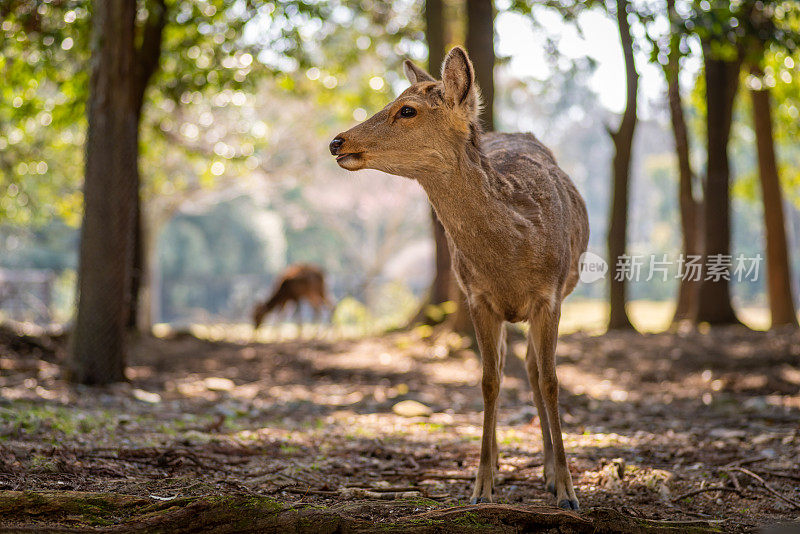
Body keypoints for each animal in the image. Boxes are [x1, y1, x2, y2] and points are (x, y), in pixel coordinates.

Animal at [328, 47, 592, 510]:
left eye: (407, 110)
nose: (337, 141)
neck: (512, 255)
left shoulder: (550, 296)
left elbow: (552, 381)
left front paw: (567, 491)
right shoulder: (477, 297)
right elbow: (488, 381)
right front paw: (481, 486)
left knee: (532, 369)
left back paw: (546, 470)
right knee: (506, 366)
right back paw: (504, 463)